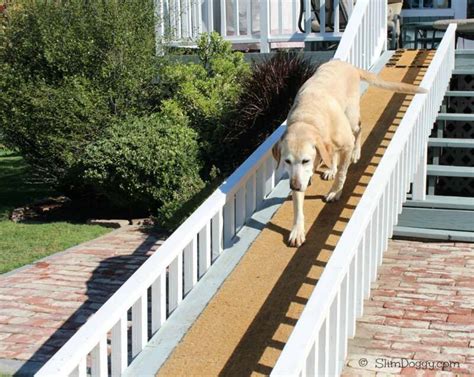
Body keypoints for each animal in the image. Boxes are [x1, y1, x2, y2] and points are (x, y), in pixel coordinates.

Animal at [272, 59, 428, 247]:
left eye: (305, 160)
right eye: (287, 161)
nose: (294, 186)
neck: (308, 118)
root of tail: (347, 64)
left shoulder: (345, 144)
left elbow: (341, 173)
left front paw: (335, 192)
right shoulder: (298, 175)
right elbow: (297, 204)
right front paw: (297, 230)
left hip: (351, 117)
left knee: (359, 129)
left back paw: (355, 153)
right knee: (332, 153)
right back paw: (330, 168)